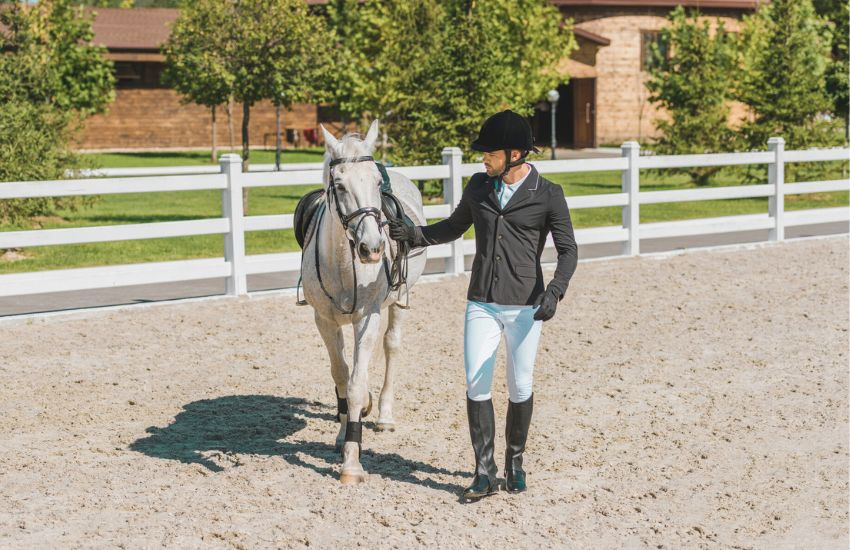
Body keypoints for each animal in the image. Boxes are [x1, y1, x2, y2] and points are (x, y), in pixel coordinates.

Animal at [302, 122, 428, 488]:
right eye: (339, 184)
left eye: (375, 182)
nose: (372, 248)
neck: (344, 262)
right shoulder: (324, 320)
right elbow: (342, 376)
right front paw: (342, 434)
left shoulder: (367, 318)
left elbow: (356, 386)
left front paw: (352, 462)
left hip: (399, 302)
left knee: (391, 347)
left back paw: (383, 413)